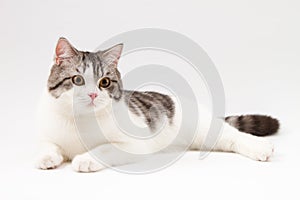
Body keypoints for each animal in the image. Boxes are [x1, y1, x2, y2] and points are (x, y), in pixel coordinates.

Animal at [35, 38, 278, 173]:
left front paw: (85, 159)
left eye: (104, 82)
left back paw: (260, 147)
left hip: (204, 129)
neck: (80, 121)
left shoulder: (133, 144)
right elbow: (46, 145)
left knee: (233, 136)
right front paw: (47, 157)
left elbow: (103, 148)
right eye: (77, 80)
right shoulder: (46, 134)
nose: (93, 94)